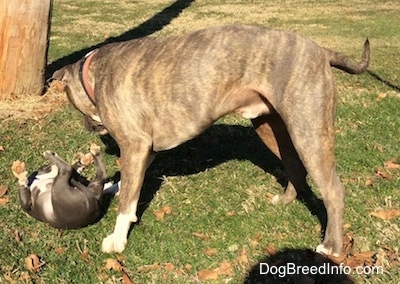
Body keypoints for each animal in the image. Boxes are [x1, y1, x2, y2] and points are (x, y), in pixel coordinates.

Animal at [52, 25, 368, 256]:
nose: (87, 127)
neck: (94, 74)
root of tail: (321, 50)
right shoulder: (144, 151)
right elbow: (128, 182)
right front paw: (111, 186)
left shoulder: (135, 146)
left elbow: (128, 202)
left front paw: (117, 239)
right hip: (273, 129)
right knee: (295, 167)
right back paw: (287, 199)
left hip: (308, 132)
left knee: (333, 190)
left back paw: (331, 246)